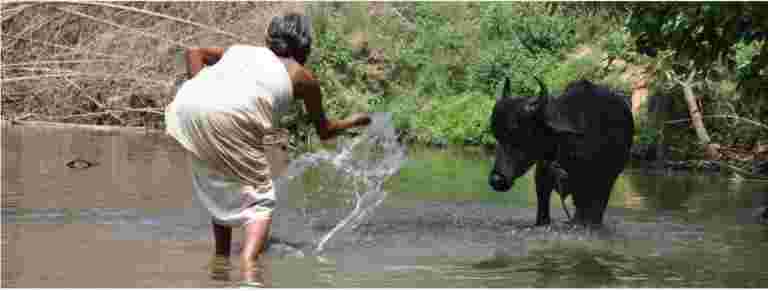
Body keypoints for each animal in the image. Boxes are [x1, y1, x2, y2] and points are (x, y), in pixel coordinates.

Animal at [488, 78, 632, 228]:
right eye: (497, 136)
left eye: (519, 135)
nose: (496, 180)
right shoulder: (543, 174)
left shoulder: (600, 182)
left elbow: (594, 211)